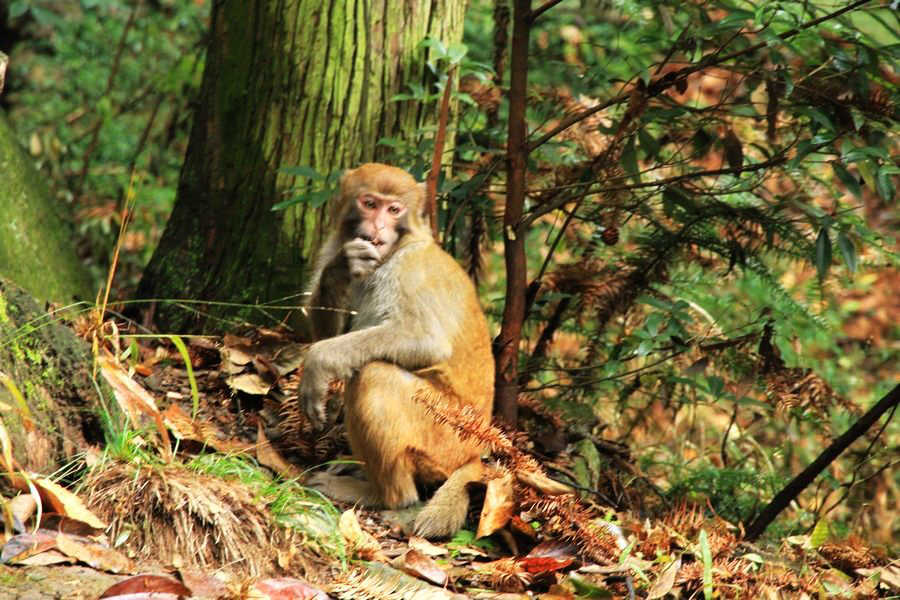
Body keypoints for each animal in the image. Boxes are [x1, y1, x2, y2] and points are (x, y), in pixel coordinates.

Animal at [300, 162, 496, 536]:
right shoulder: (335, 245)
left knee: (373, 375)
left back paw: (385, 495)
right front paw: (343, 267)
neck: (395, 250)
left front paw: (317, 363)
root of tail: (477, 448)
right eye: (369, 203)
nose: (378, 228)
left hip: (445, 436)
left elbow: (426, 340)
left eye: (394, 210)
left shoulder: (410, 270)